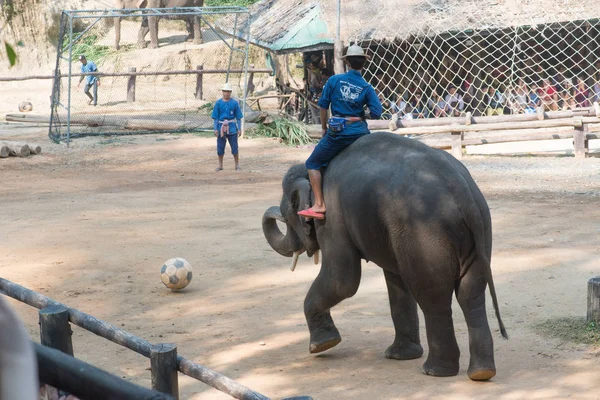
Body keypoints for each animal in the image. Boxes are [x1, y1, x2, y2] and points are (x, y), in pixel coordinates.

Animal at [262, 132, 506, 382]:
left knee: (433, 296)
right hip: (477, 232)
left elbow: (343, 281)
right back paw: (481, 373)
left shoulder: (331, 218)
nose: (274, 214)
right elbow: (395, 281)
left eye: (287, 213)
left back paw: (434, 371)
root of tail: (462, 191)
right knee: (471, 293)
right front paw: (400, 356)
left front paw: (322, 345)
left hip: (425, 232)